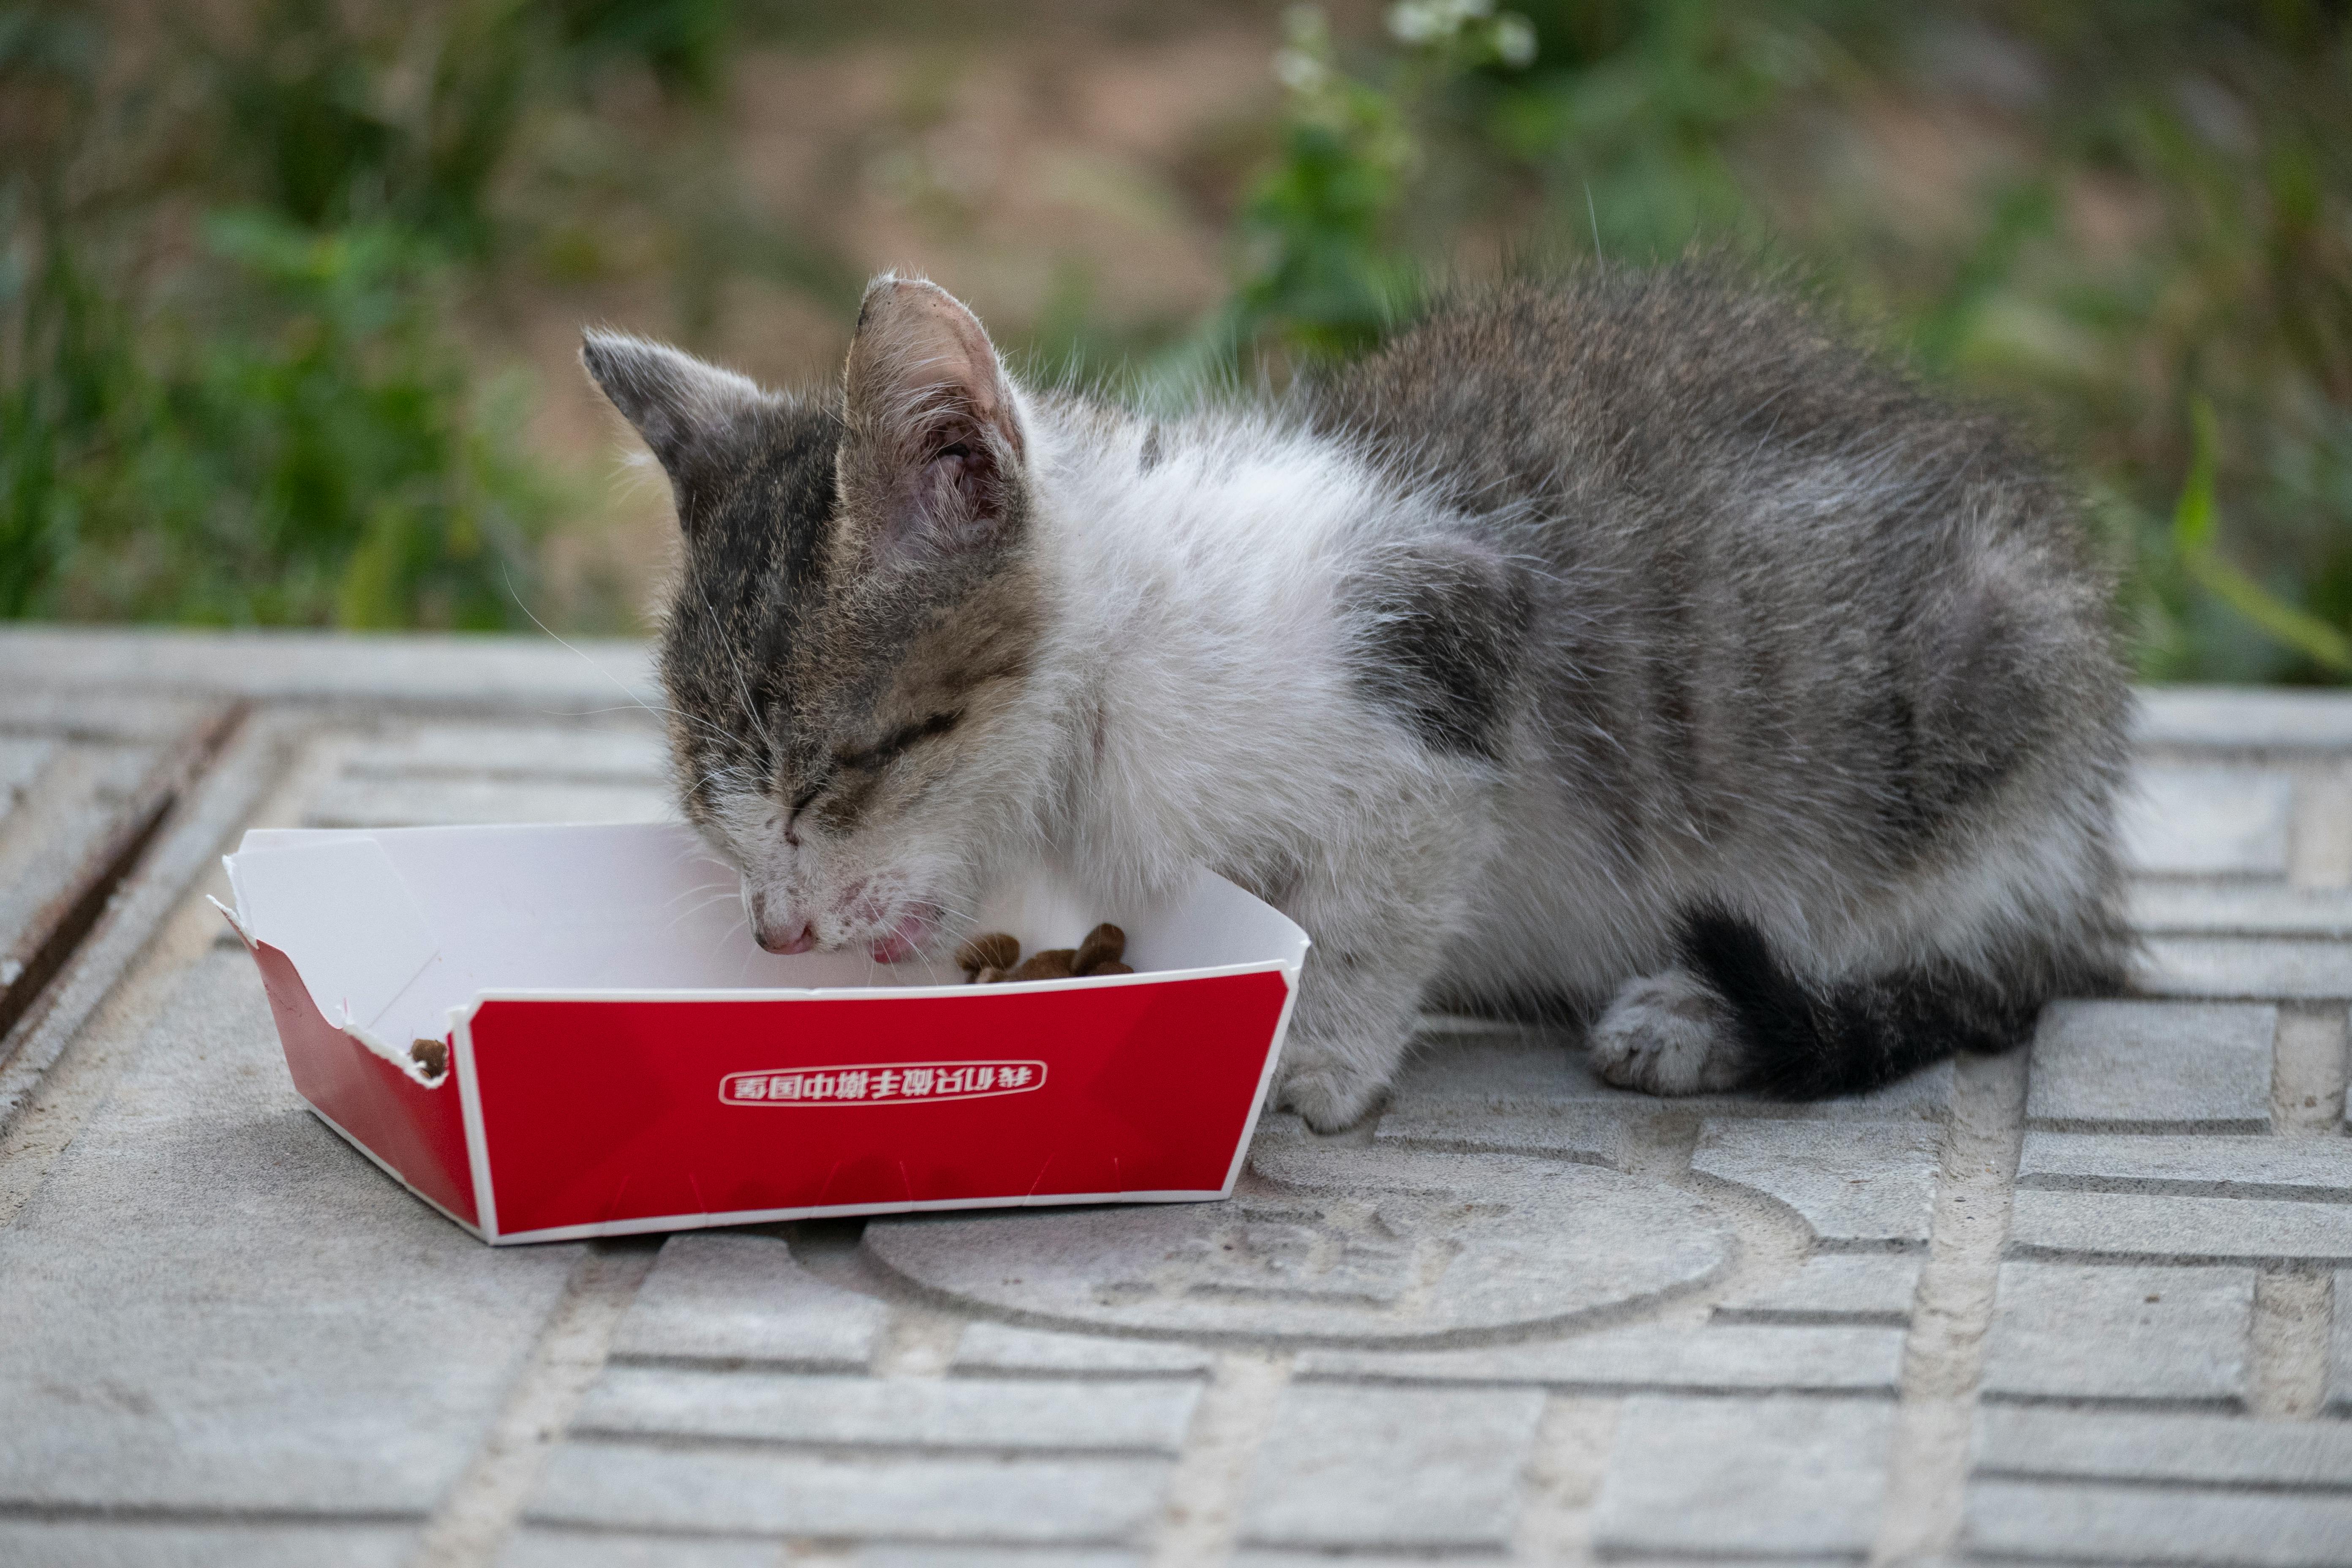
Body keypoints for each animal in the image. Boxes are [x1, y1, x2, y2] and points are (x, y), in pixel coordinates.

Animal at [588, 267, 2135, 1128]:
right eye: (716, 816)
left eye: (825, 779)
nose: (777, 932)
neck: (1115, 676)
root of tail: (2084, 861)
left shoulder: (1443, 673)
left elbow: (1367, 912)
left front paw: (1310, 1062)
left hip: (1945, 714)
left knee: (1931, 962)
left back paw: (1698, 1013)